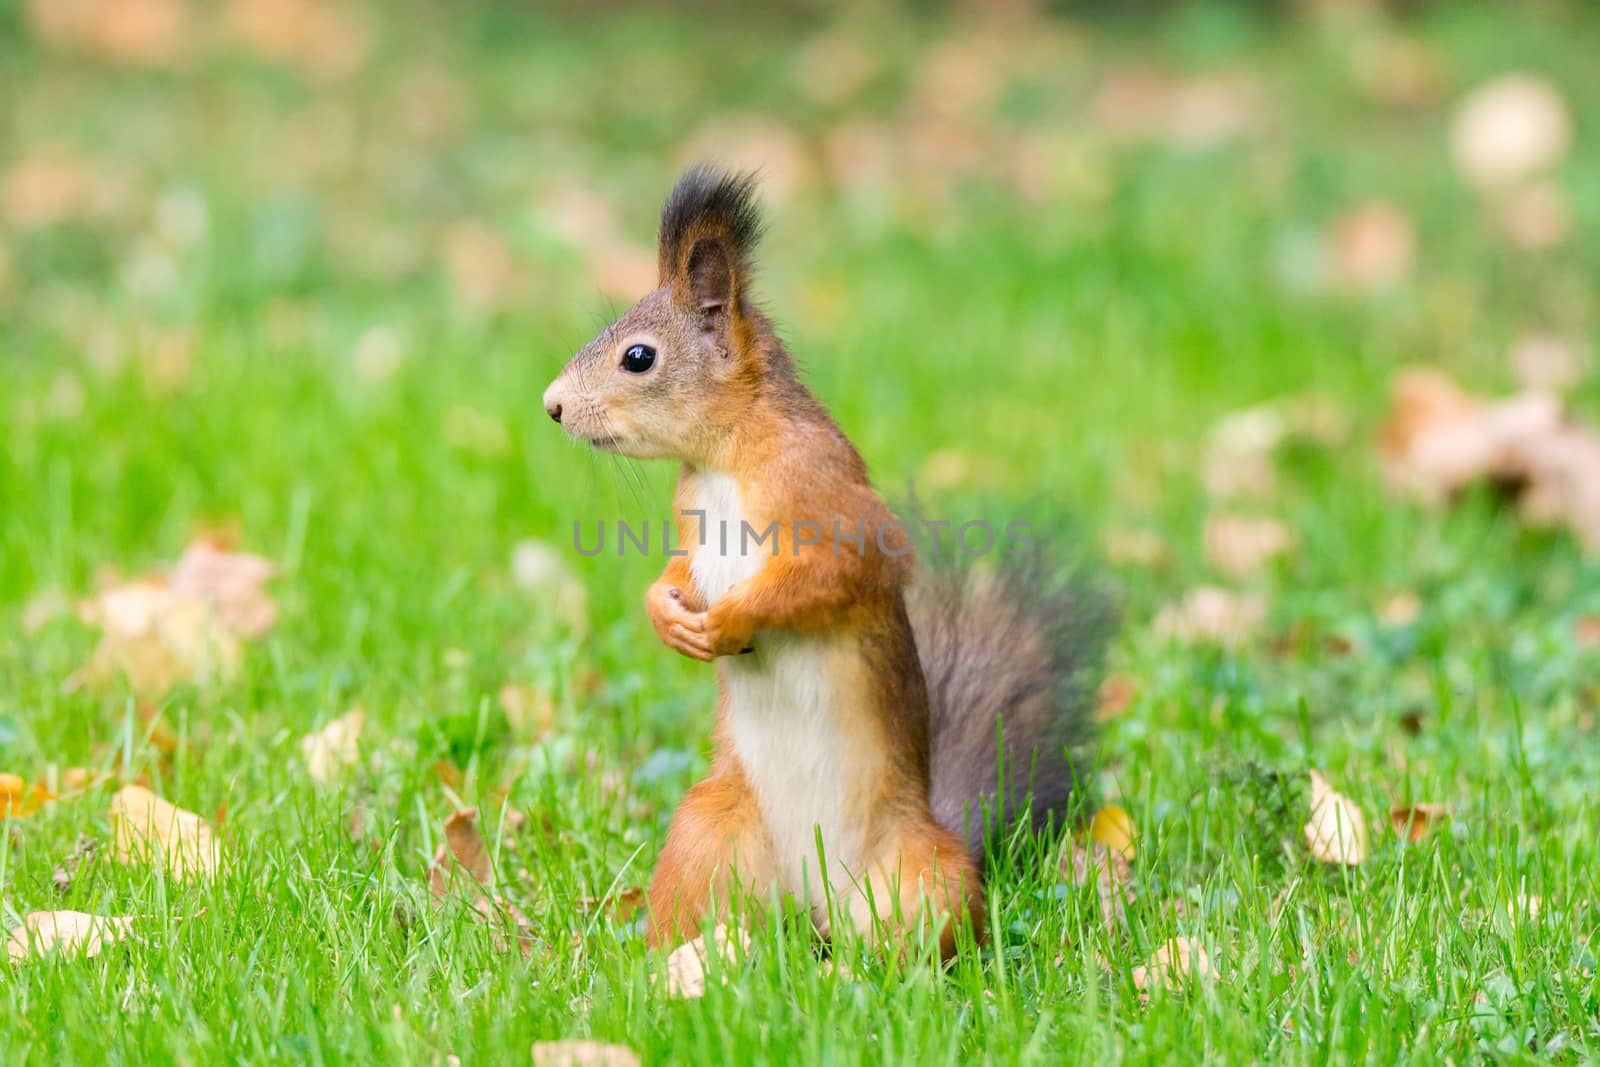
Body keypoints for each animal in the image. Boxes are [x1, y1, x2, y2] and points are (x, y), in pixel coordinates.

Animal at [544, 167, 1107, 959]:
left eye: (639, 357)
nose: (553, 405)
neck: (726, 457)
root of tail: (818, 907)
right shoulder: (693, 521)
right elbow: (680, 570)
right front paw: (667, 615)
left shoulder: (831, 501)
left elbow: (834, 575)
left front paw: (731, 620)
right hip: (709, 834)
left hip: (919, 875)